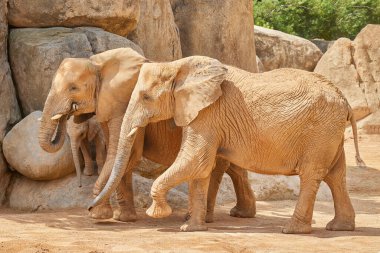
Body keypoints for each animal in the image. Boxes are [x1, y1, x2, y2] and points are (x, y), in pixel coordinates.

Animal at [37, 47, 255, 223]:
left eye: (73, 88)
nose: (67, 114)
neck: (98, 63)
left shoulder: (123, 104)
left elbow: (123, 156)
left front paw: (99, 215)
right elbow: (120, 159)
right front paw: (122, 218)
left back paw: (199, 218)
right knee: (235, 167)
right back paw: (241, 214)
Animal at [89, 55, 366, 233]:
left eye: (146, 97)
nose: (91, 209)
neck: (178, 65)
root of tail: (345, 99)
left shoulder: (208, 114)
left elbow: (196, 160)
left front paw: (158, 213)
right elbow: (201, 169)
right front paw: (191, 228)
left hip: (320, 131)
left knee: (311, 175)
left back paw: (292, 230)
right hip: (329, 133)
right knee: (336, 175)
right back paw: (339, 227)